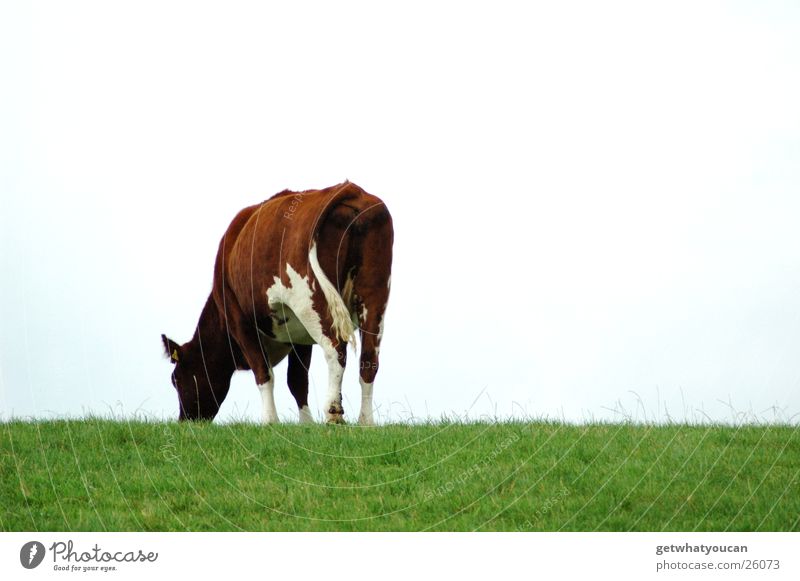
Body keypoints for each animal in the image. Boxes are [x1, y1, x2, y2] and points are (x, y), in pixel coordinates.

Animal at [160, 182, 394, 426]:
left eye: (175, 379)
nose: (185, 420)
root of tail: (350, 189)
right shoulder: (298, 334)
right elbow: (297, 380)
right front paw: (305, 424)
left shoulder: (239, 321)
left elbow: (263, 372)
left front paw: (270, 420)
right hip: (375, 294)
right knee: (369, 359)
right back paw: (365, 421)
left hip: (310, 300)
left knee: (335, 348)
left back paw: (333, 413)